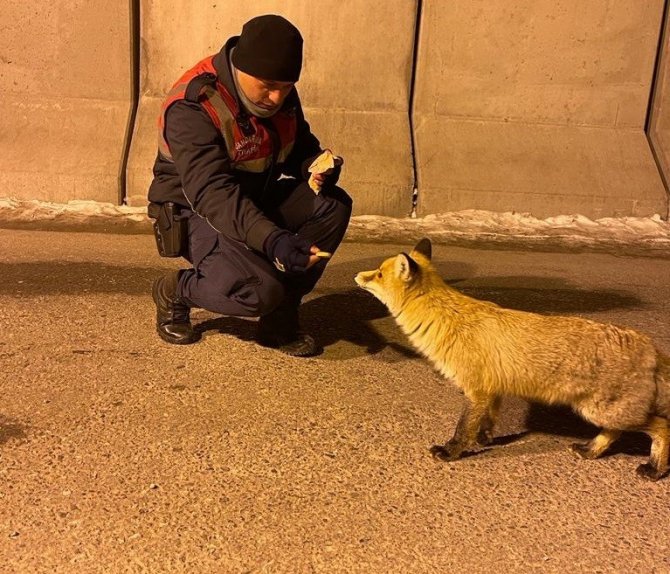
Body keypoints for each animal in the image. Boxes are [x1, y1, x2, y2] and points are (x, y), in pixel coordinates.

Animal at [354, 238, 668, 482]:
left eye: (379, 274)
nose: (357, 275)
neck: (447, 318)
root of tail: (650, 346)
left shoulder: (476, 390)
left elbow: (462, 428)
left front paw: (452, 451)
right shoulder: (492, 390)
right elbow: (488, 420)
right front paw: (485, 438)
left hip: (604, 411)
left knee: (661, 428)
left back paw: (655, 470)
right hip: (599, 412)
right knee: (614, 433)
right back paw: (590, 450)